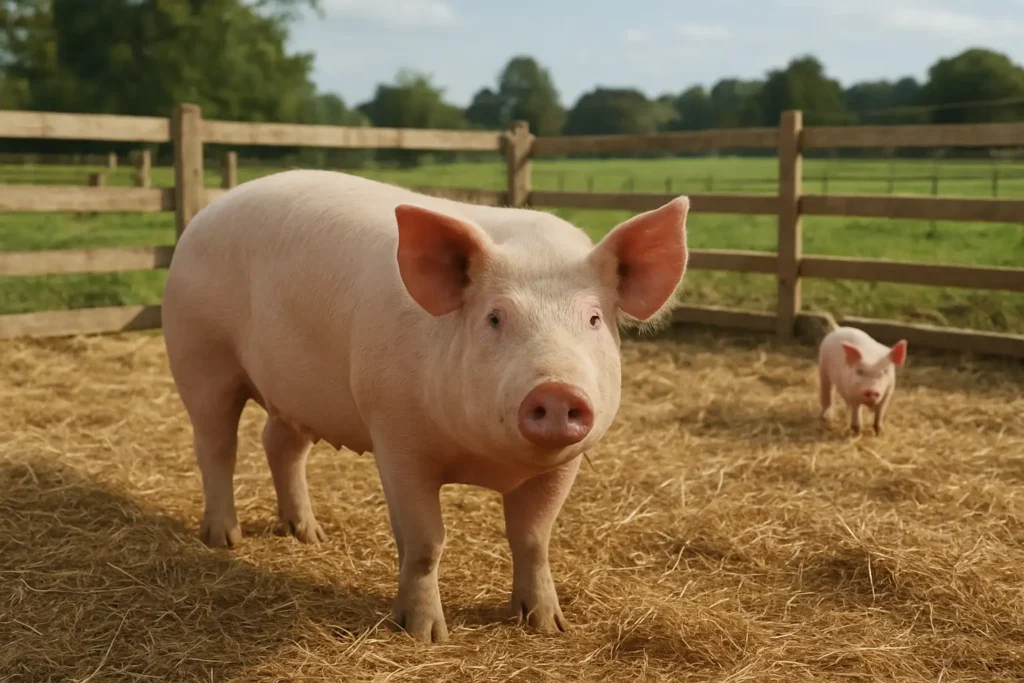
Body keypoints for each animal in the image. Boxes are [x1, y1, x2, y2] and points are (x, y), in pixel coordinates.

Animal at [161, 169, 690, 643]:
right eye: (495, 317)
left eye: (595, 319)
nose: (557, 390)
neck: (488, 463)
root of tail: (206, 213)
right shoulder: (396, 438)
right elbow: (424, 542)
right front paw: (425, 635)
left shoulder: (564, 464)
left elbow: (534, 538)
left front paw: (547, 625)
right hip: (199, 355)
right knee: (215, 445)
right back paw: (224, 539)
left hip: (295, 391)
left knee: (280, 443)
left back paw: (309, 534)